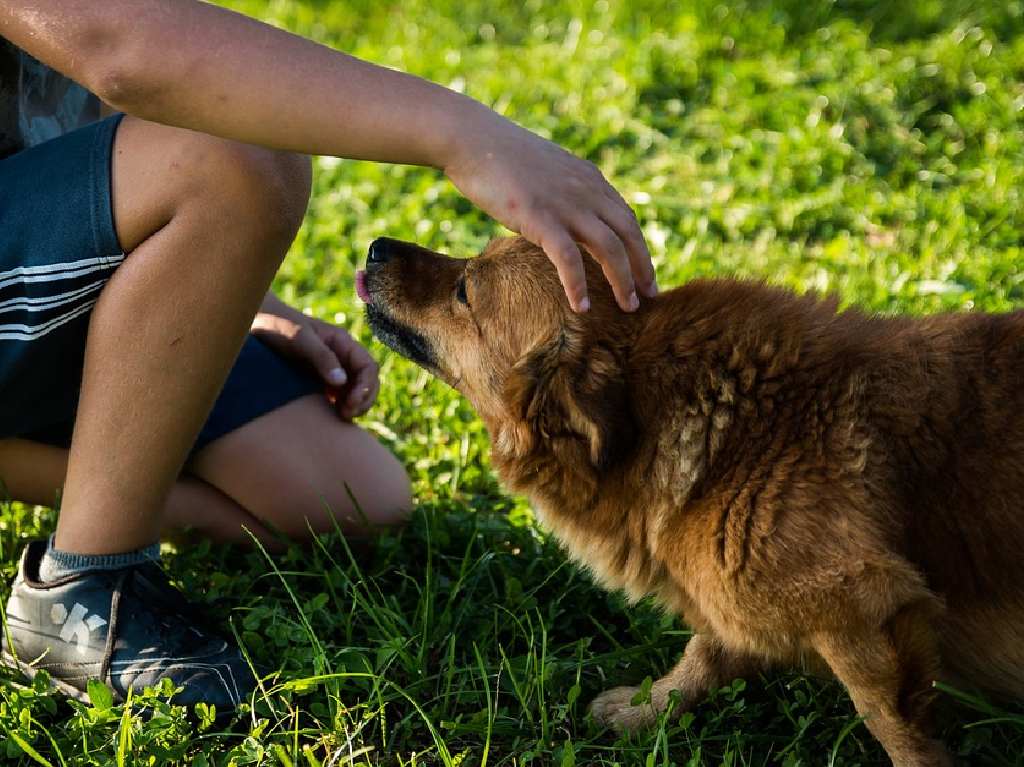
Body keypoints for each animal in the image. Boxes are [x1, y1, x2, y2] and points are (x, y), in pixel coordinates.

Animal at [356, 236, 1024, 761]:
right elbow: (702, 658)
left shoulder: (864, 605)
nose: (377, 246)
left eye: (465, 289)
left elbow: (895, 729)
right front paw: (644, 712)